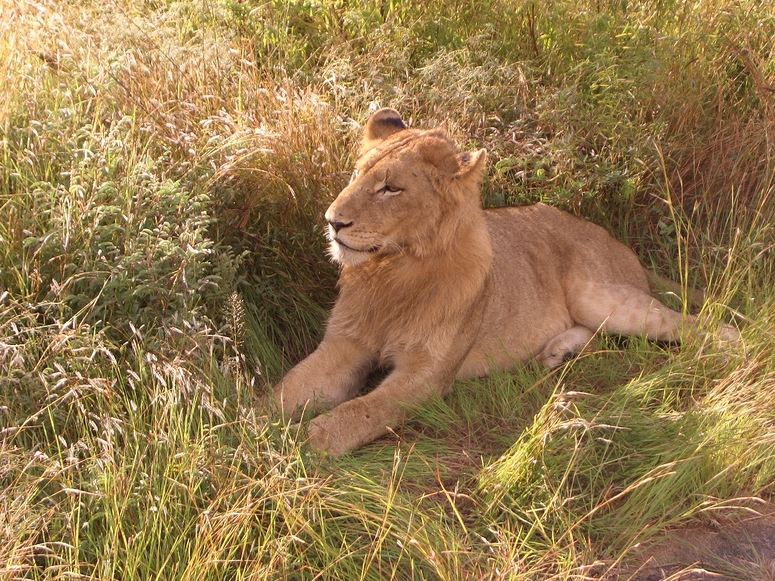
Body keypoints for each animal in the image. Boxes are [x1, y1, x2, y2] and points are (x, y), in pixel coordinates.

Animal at [274, 107, 740, 454]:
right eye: (356, 175)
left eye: (390, 188)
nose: (332, 222)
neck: (392, 273)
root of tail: (619, 243)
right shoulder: (345, 345)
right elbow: (283, 392)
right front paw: (257, 432)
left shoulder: (426, 376)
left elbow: (358, 414)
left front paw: (300, 444)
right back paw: (558, 351)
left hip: (601, 295)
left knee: (691, 325)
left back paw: (731, 353)